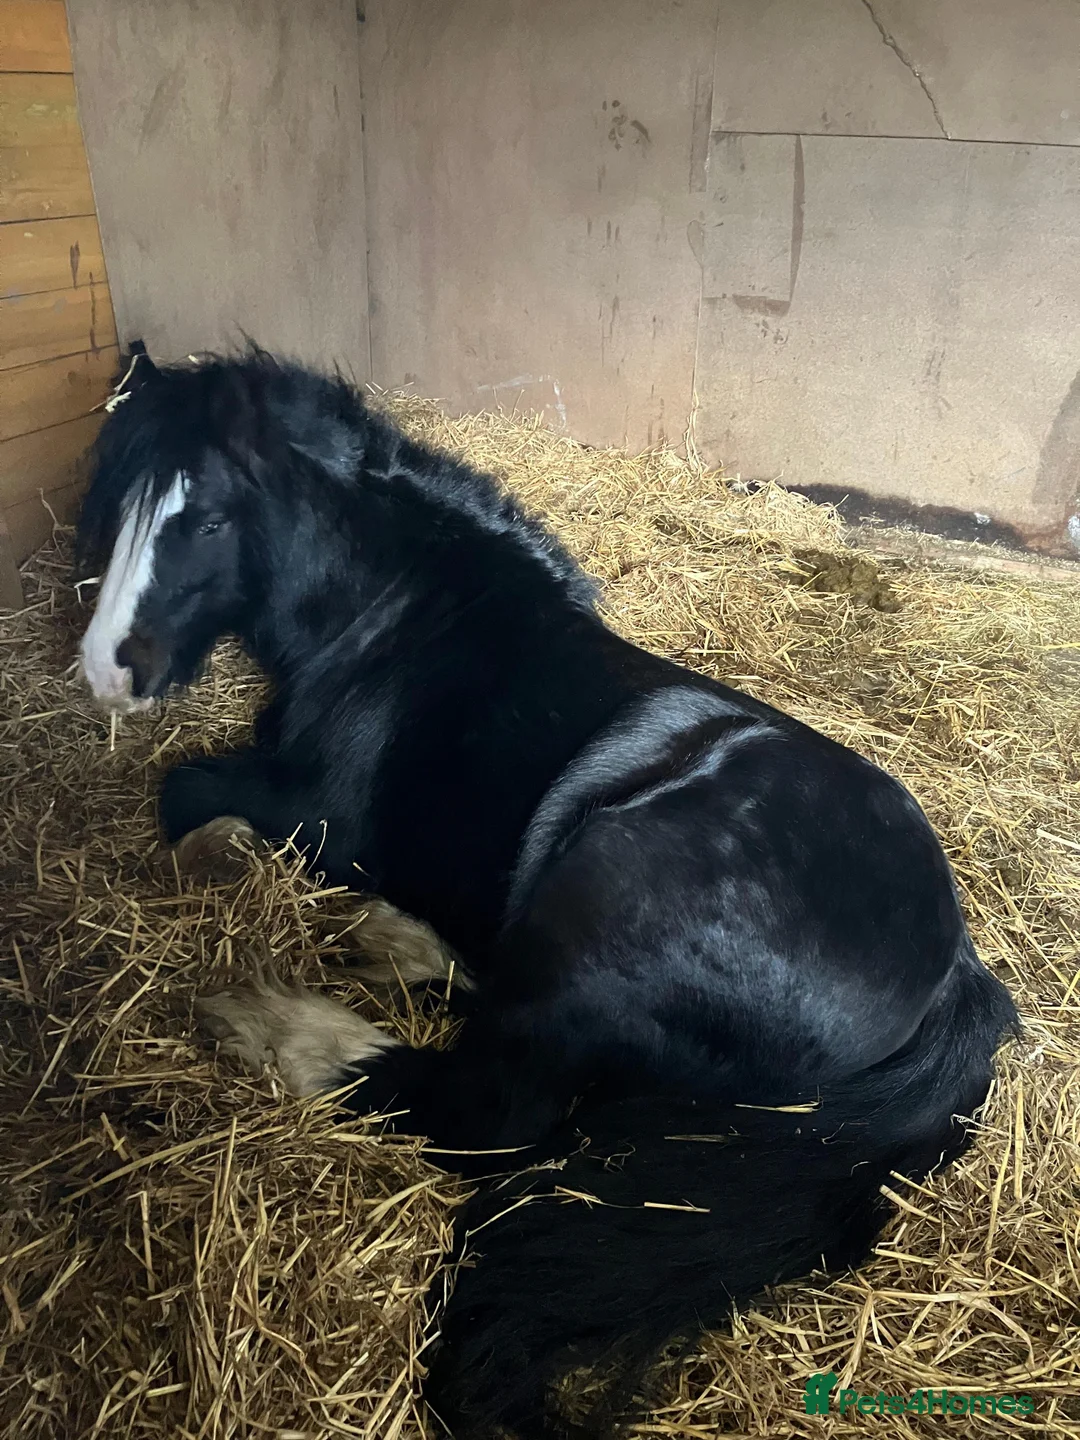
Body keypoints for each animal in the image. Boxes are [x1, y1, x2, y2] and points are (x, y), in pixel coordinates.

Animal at [74, 346, 1017, 1439]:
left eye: (207, 521)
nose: (106, 669)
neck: (399, 622)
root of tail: (954, 980)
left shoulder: (318, 819)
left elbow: (183, 797)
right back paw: (391, 945)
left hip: (600, 889)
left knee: (490, 1108)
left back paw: (278, 1025)